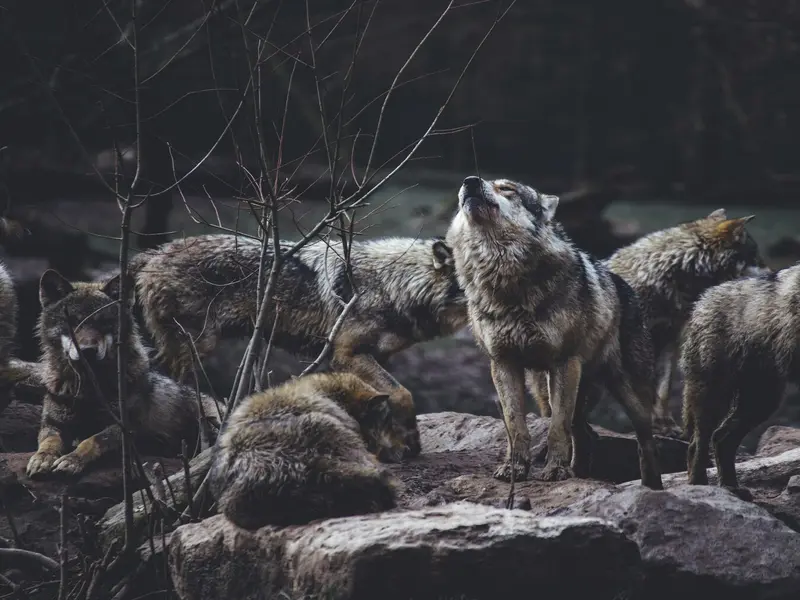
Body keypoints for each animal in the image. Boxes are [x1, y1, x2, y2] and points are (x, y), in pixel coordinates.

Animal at [26, 269, 225, 478]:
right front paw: (42, 458)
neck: (89, 388)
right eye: (72, 322)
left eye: (104, 323)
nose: (88, 350)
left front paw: (72, 460)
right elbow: (49, 442)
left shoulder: (125, 427)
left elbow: (92, 440)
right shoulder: (53, 424)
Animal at [127, 234, 468, 460]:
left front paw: (396, 443)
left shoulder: (376, 357)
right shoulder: (347, 354)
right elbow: (402, 393)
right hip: (195, 348)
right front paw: (410, 442)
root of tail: (152, 254)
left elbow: (385, 400)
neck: (395, 284)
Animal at [445, 175, 663, 489]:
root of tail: (624, 284)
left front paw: (556, 471)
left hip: (628, 395)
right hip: (547, 391)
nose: (470, 181)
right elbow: (516, 426)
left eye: (507, 189)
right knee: (585, 432)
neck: (505, 282)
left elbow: (557, 428)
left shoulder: (564, 363)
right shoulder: (503, 364)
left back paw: (651, 487)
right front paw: (515, 469)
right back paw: (581, 473)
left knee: (645, 442)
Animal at [681, 264, 800, 501]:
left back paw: (730, 487)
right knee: (698, 443)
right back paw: (700, 486)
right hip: (715, 395)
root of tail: (702, 300)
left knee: (721, 438)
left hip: (760, 401)